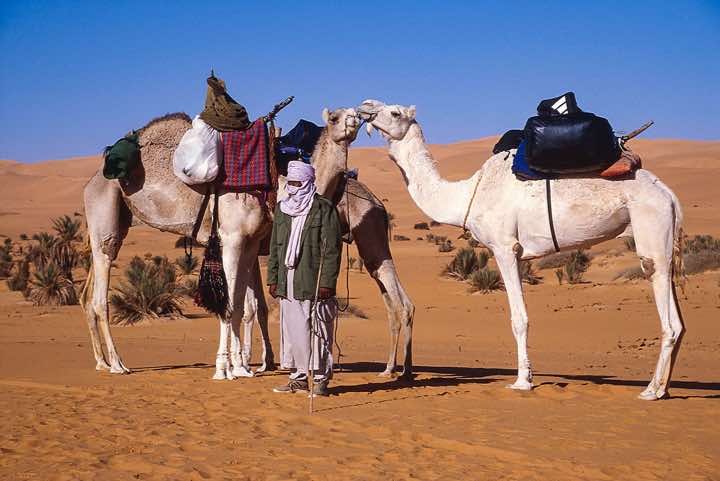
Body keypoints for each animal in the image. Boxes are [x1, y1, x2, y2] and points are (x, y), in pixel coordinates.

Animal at [81, 107, 414, 379]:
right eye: (334, 117)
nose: (356, 119)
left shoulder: (252, 244)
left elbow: (245, 305)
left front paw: (244, 364)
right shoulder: (234, 239)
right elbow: (240, 305)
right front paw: (232, 366)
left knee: (396, 300)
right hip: (105, 215)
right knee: (98, 295)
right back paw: (116, 364)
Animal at [358, 99, 685, 400]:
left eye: (395, 112)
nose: (365, 107)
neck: (467, 195)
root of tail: (668, 194)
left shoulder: (504, 247)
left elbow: (519, 318)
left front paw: (522, 381)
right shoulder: (515, 252)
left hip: (651, 226)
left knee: (667, 317)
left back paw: (650, 391)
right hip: (663, 240)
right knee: (678, 320)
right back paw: (663, 388)